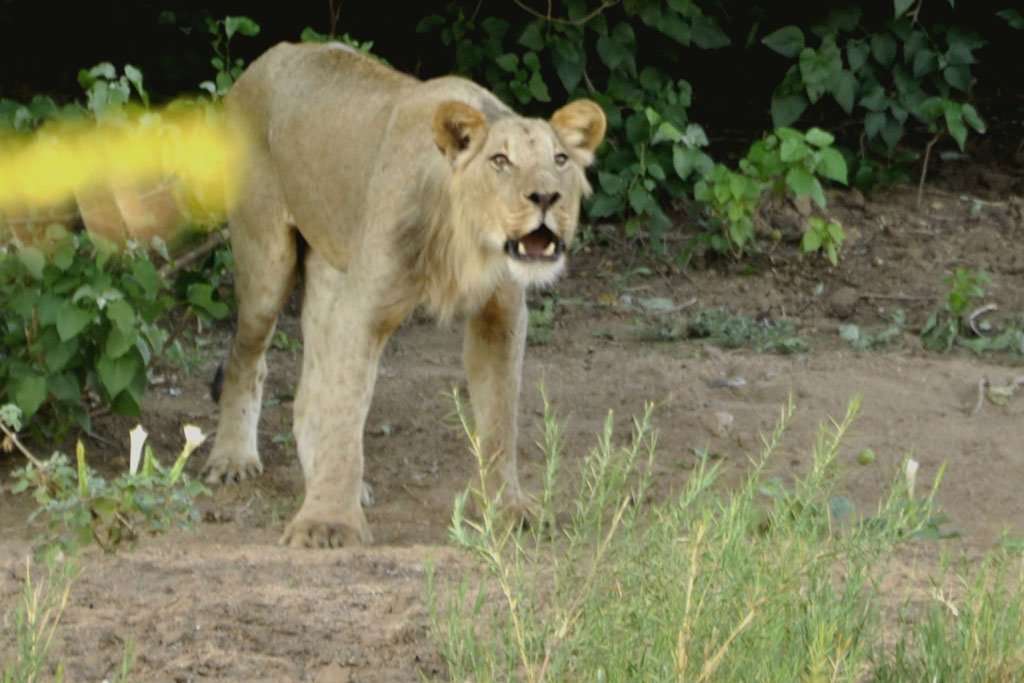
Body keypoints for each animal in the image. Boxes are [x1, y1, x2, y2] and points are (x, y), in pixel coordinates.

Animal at [202, 41, 606, 548]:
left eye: (560, 161)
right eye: (500, 161)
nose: (547, 197)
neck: (466, 243)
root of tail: (269, 56)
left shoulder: (501, 313)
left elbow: (500, 419)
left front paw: (509, 510)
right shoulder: (364, 308)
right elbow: (347, 409)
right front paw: (326, 522)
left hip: (332, 271)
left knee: (309, 393)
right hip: (266, 260)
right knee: (247, 358)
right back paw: (234, 459)